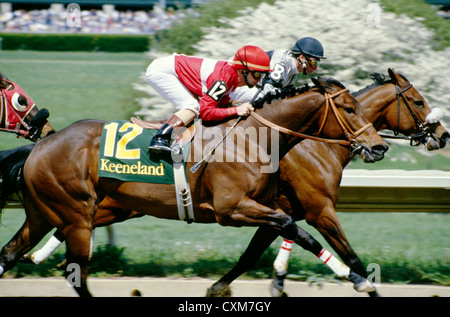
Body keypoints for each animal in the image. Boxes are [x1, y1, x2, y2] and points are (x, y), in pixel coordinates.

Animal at [0, 76, 388, 296]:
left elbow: (271, 241)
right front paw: (355, 276)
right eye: (349, 109)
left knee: (9, 254)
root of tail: (41, 145)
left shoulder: (267, 206)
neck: (255, 138)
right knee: (76, 274)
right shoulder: (233, 209)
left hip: (44, 213)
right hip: (76, 214)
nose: (379, 146)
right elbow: (298, 229)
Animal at [206, 68, 448, 296]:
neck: (321, 145)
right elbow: (354, 261)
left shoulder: (279, 212)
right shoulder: (320, 210)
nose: (443, 135)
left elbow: (251, 255)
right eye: (418, 101)